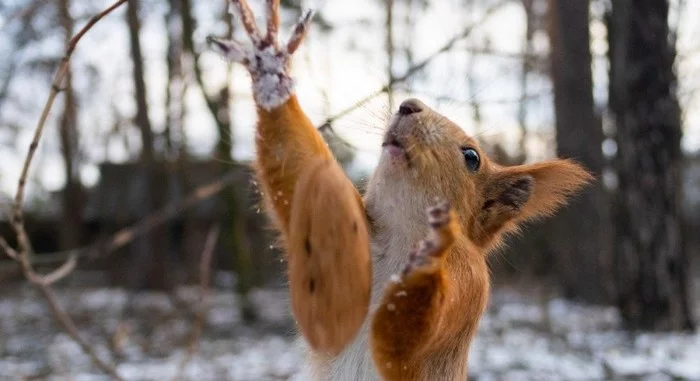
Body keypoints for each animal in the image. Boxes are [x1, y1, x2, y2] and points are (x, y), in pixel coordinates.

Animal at [206, 1, 592, 378]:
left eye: (472, 157)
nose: (408, 105)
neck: (402, 235)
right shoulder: (351, 237)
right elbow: (302, 173)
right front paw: (270, 69)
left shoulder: (469, 286)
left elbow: (401, 342)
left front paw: (426, 262)